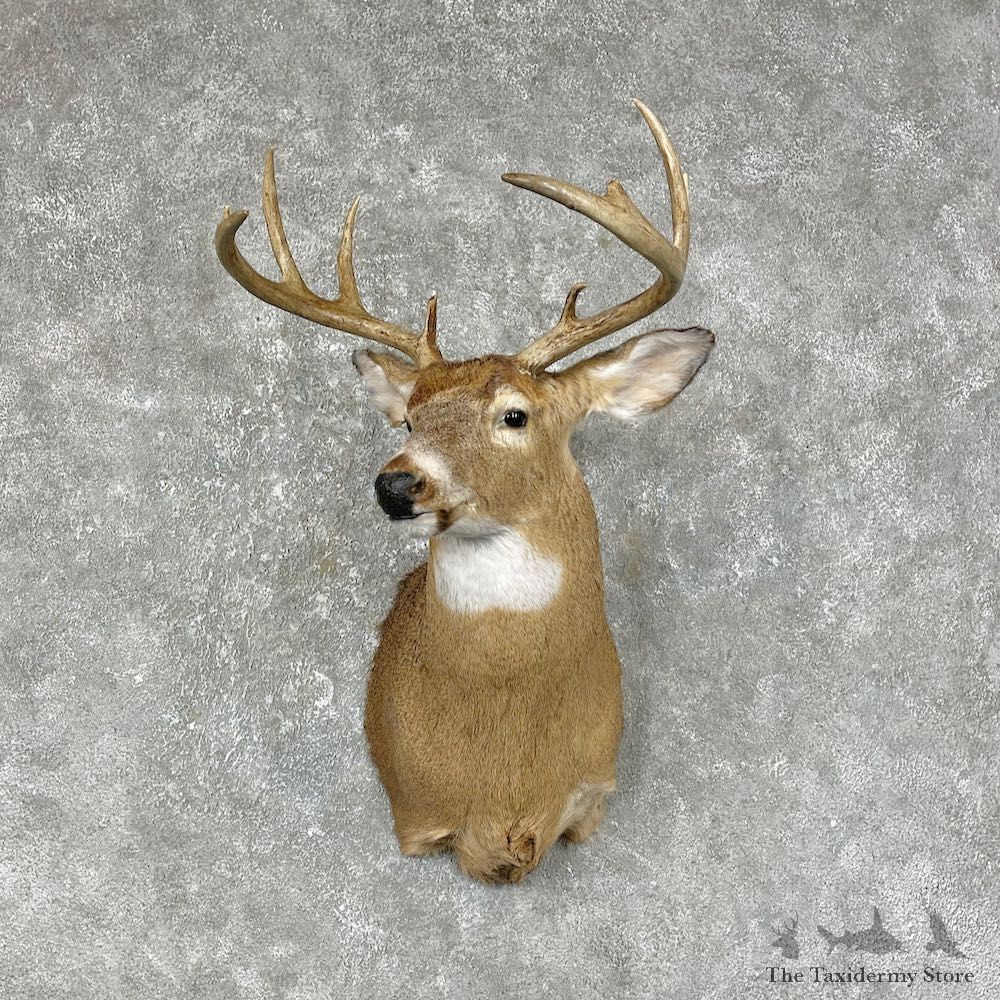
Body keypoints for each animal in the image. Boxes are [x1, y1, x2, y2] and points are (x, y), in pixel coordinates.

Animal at [215, 100, 714, 883]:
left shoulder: (593, 793)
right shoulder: (417, 812)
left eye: (515, 414)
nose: (396, 484)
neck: (507, 779)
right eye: (410, 416)